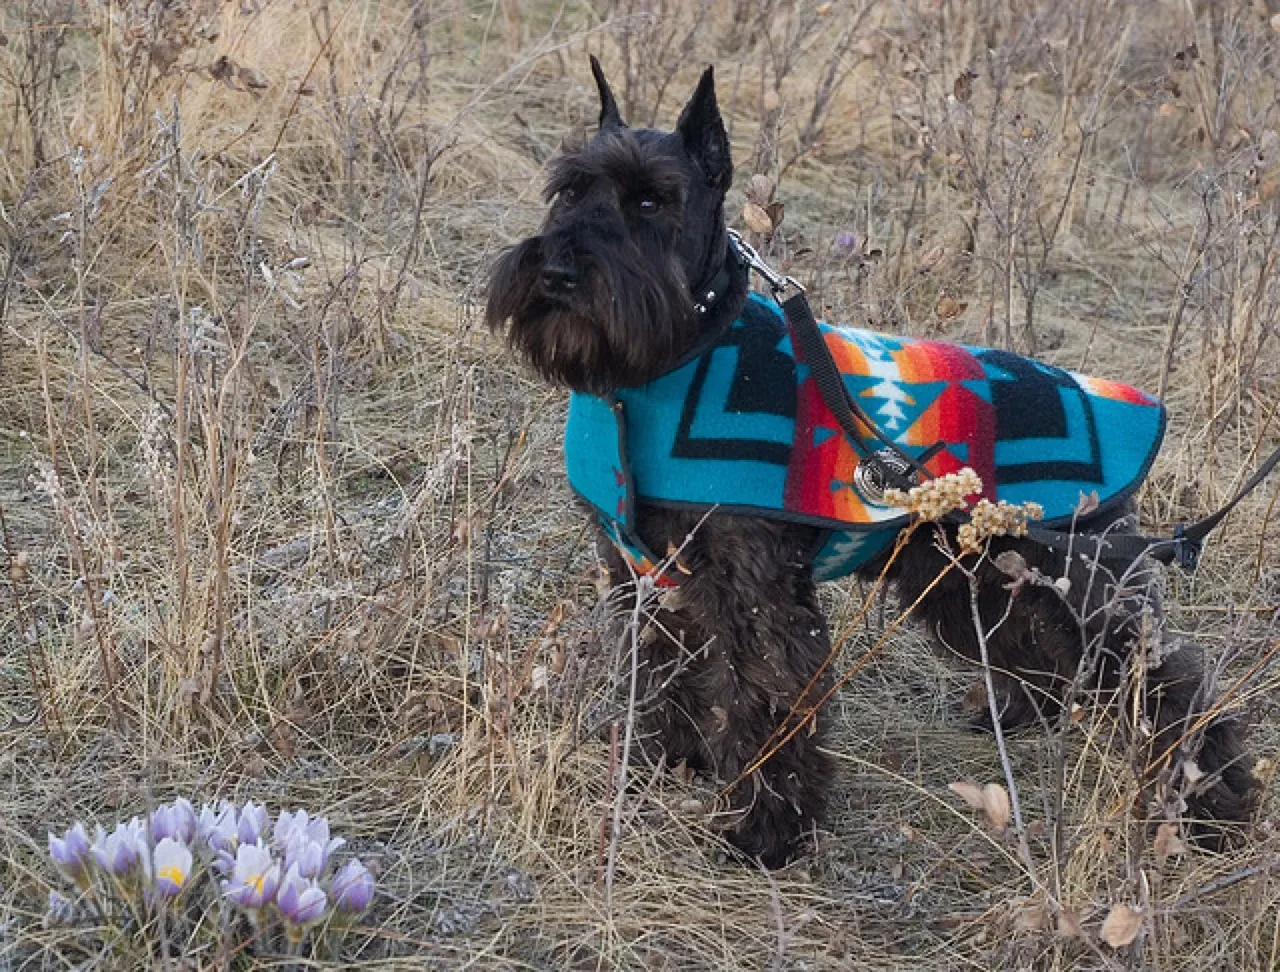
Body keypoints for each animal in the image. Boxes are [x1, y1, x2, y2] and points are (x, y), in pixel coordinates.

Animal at [483, 60, 1254, 865]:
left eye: (649, 200)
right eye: (569, 191)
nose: (557, 270)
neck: (674, 359)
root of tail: (1126, 403)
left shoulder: (752, 596)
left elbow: (766, 699)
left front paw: (768, 829)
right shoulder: (644, 577)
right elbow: (663, 674)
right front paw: (661, 762)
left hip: (1084, 586)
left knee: (1172, 679)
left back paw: (1214, 804)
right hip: (981, 583)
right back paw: (1018, 718)